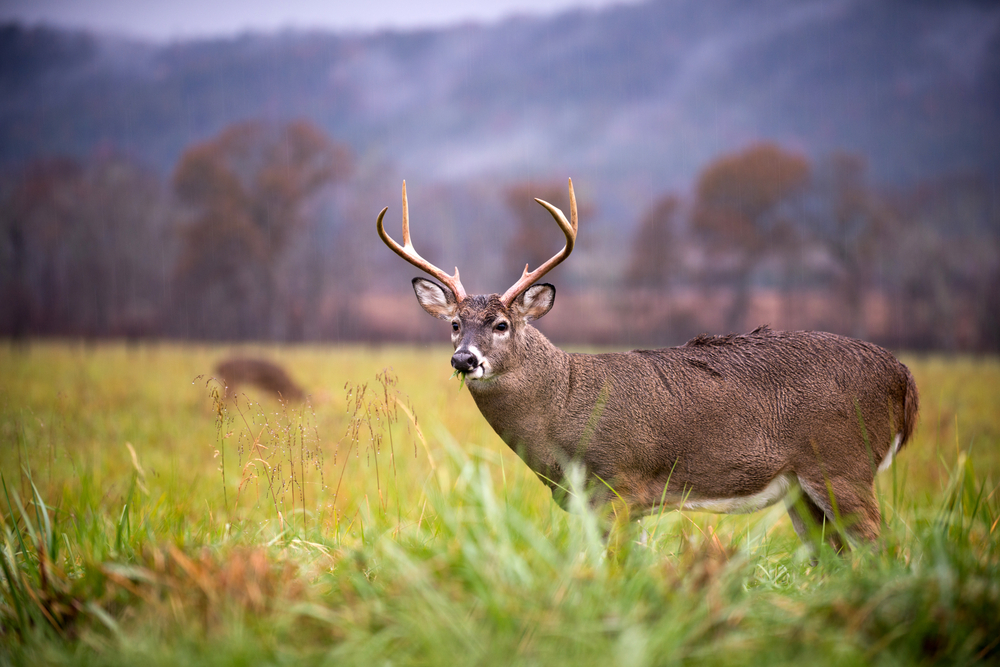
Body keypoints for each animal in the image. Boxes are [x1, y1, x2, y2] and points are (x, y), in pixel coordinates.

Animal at [376, 179, 919, 552]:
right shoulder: (596, 504)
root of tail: (903, 378)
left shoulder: (621, 486)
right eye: (453, 323)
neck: (564, 407)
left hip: (844, 464)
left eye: (502, 324)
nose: (464, 358)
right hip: (802, 491)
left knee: (883, 550)